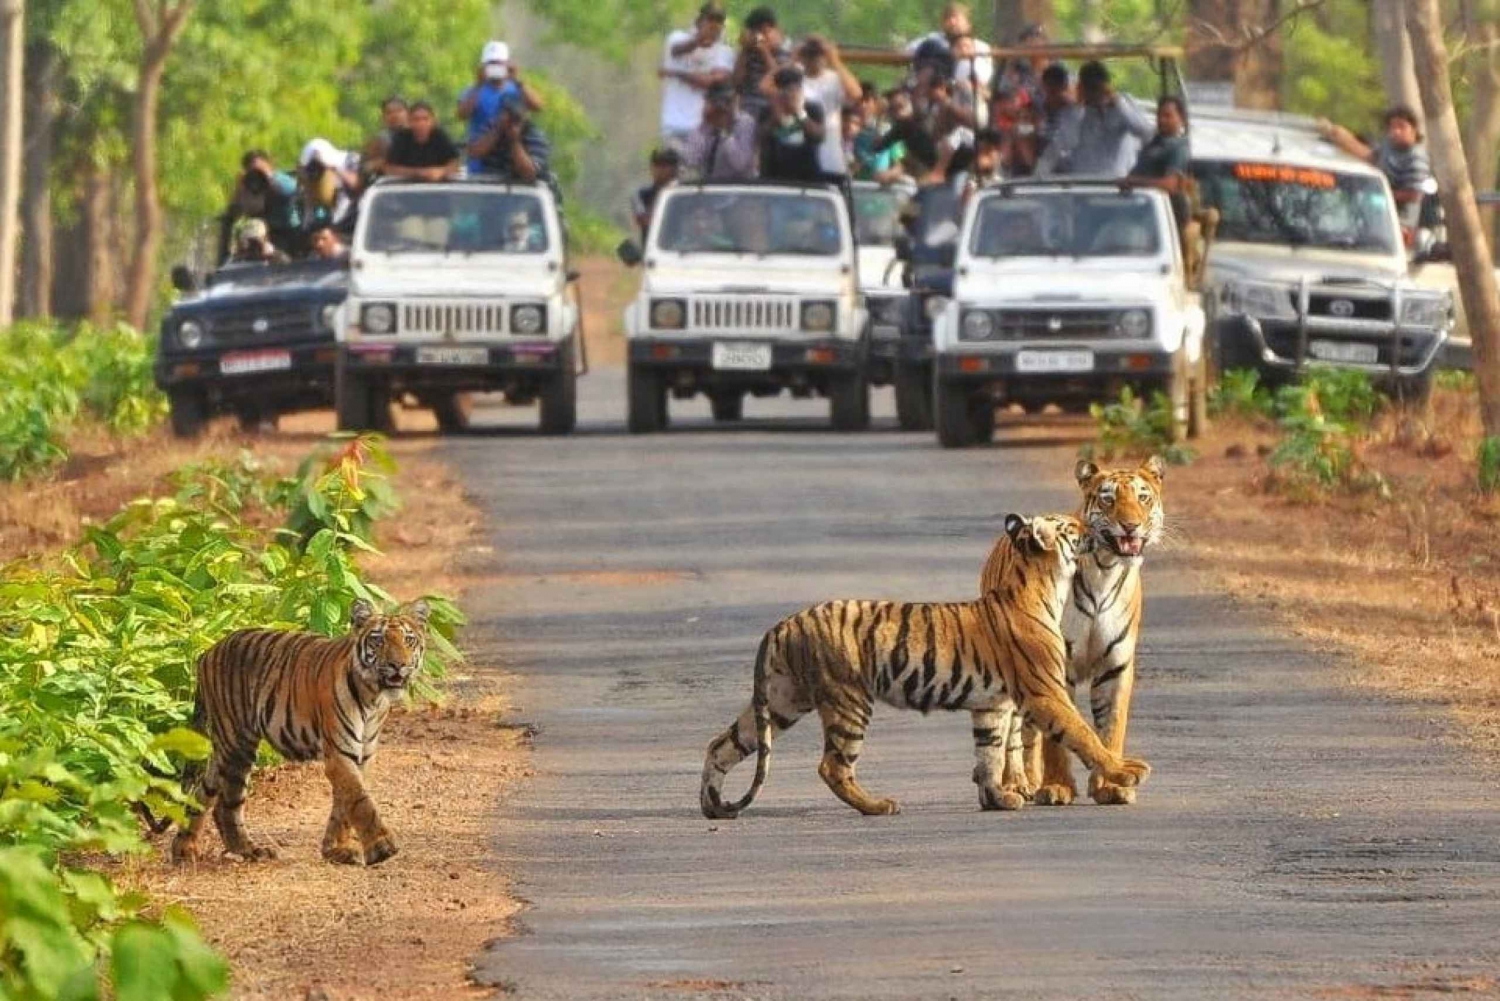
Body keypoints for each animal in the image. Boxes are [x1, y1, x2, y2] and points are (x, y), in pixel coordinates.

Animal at [168, 600, 432, 864]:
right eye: (378, 640)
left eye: (408, 640)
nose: (398, 665)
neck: (373, 698)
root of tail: (208, 652)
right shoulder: (339, 754)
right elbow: (359, 800)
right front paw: (382, 847)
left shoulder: (362, 755)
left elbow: (343, 804)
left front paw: (337, 849)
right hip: (238, 743)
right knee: (226, 805)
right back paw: (249, 850)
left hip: (224, 747)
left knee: (202, 792)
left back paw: (184, 848)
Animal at [696, 513, 1152, 816]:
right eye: (1072, 526)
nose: (1095, 527)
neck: (1044, 584)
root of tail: (782, 624)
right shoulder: (1046, 693)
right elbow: (1084, 735)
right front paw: (1127, 772)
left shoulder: (992, 705)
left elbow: (989, 754)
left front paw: (998, 799)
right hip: (848, 699)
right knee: (832, 766)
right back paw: (879, 805)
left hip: (782, 700)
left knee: (721, 744)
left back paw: (712, 805)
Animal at [984, 459, 1170, 810]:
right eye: (1109, 499)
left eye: (1143, 498)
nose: (1130, 526)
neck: (1105, 570)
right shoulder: (1055, 666)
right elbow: (1056, 739)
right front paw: (1057, 787)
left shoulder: (1115, 666)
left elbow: (1110, 729)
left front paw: (1111, 787)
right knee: (1014, 731)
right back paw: (1017, 783)